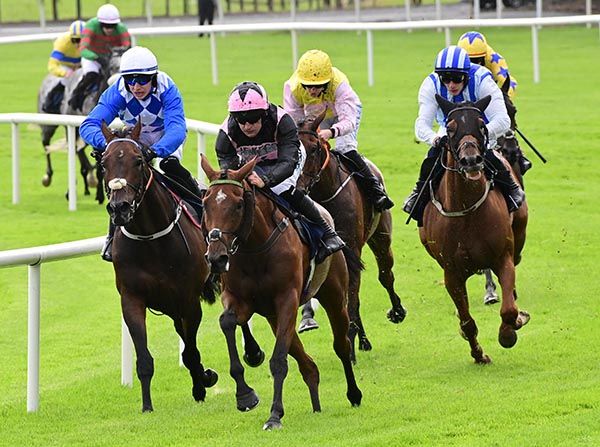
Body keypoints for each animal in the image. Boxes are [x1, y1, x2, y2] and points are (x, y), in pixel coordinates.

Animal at [101, 122, 223, 412]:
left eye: (138, 160)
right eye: (103, 163)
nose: (119, 207)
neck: (150, 239)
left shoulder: (189, 300)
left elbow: (190, 352)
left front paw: (202, 384)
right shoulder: (132, 299)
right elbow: (145, 359)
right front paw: (147, 405)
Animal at [200, 156, 360, 432]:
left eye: (238, 204)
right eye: (205, 203)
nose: (216, 258)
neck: (255, 249)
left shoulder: (288, 299)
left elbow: (278, 361)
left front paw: (274, 415)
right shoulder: (238, 299)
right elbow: (227, 322)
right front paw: (245, 395)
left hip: (334, 296)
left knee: (341, 345)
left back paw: (354, 394)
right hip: (274, 317)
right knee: (306, 362)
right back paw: (316, 402)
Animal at [296, 112, 408, 360]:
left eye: (315, 148)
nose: (298, 189)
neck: (325, 193)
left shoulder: (352, 249)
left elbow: (353, 297)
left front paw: (350, 338)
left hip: (381, 237)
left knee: (385, 275)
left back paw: (395, 312)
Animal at [420, 96, 532, 366]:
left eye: (481, 125)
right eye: (450, 128)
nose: (471, 161)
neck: (466, 211)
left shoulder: (503, 257)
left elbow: (509, 310)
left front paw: (509, 331)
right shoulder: (451, 273)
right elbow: (466, 321)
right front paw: (479, 354)